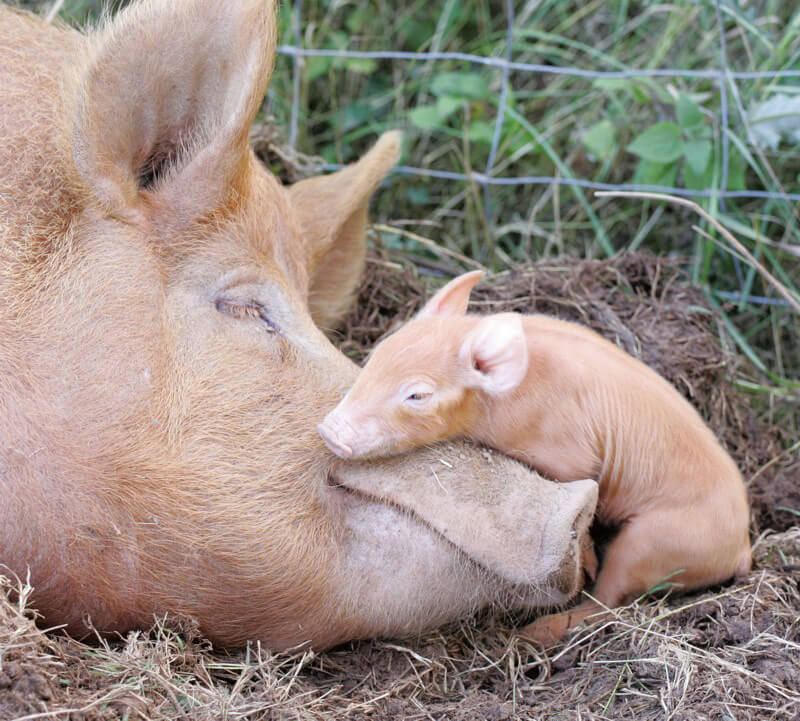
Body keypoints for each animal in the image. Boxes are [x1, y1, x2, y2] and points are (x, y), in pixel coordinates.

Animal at [318, 270, 752, 640]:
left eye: (417, 395)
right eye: (377, 355)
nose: (329, 432)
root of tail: (741, 548)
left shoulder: (570, 454)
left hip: (657, 541)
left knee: (610, 598)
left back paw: (533, 635)